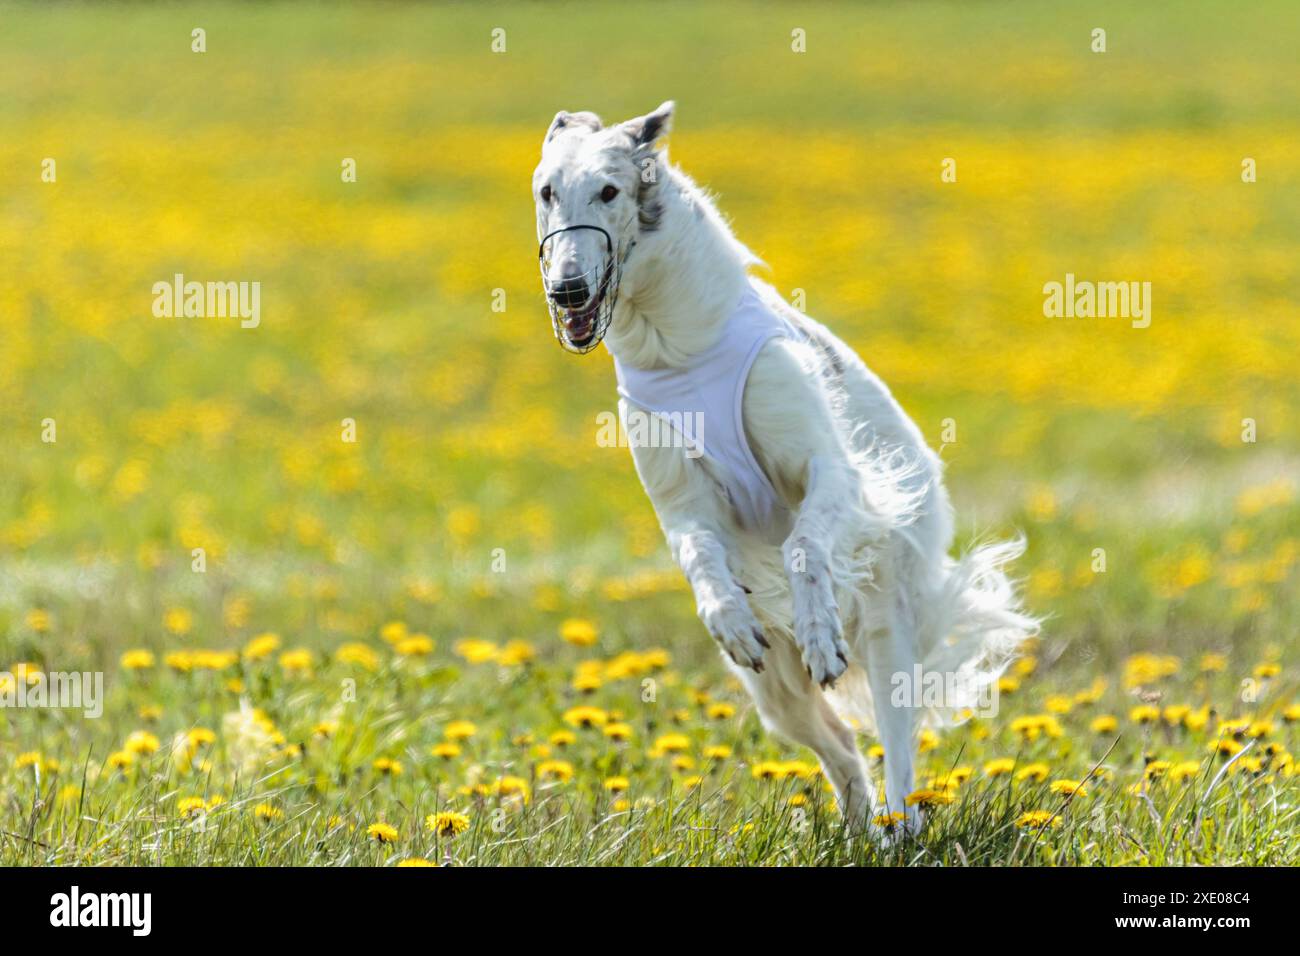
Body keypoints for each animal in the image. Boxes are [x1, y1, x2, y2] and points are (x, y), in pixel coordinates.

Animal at [530, 98, 1034, 832]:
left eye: (609, 190)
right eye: (547, 191)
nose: (567, 291)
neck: (678, 343)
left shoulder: (826, 469)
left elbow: (803, 544)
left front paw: (820, 632)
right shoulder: (680, 503)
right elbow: (700, 557)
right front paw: (731, 620)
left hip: (888, 627)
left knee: (896, 745)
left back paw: (899, 828)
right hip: (775, 694)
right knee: (841, 746)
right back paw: (860, 826)